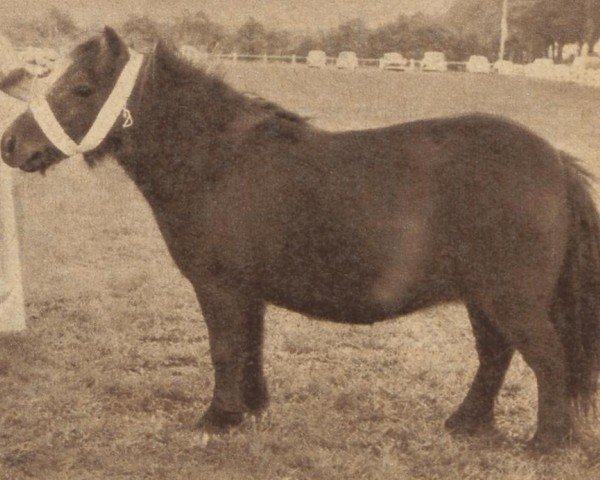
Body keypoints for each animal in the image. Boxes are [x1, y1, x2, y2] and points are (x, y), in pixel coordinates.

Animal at [1, 29, 600, 450]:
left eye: (81, 88)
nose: (11, 145)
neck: (216, 162)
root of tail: (553, 160)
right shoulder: (247, 292)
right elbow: (249, 347)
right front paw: (250, 410)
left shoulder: (219, 288)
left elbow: (225, 348)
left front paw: (216, 419)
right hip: (484, 299)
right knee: (495, 357)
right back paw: (466, 423)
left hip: (512, 300)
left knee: (547, 360)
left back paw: (544, 444)